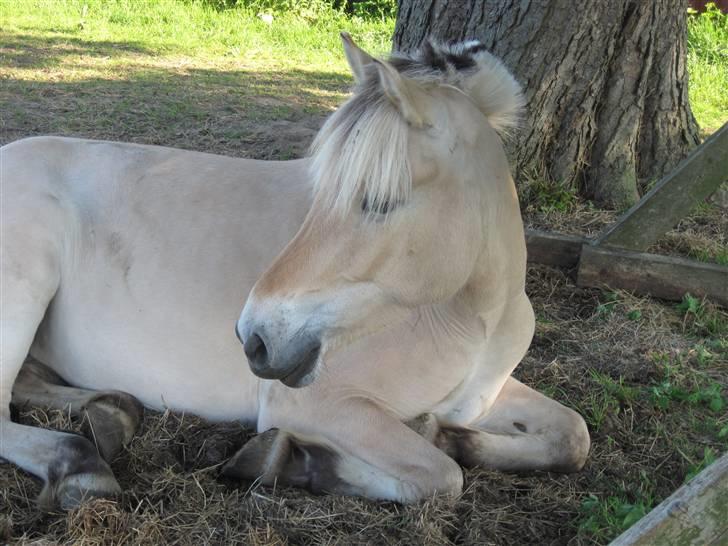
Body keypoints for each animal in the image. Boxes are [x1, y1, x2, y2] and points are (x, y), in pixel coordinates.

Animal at [0, 34, 590, 508]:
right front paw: (290, 461)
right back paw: (80, 464)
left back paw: (111, 412)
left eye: (378, 202)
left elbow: (572, 436)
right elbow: (441, 478)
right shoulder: (320, 405)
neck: (476, 317)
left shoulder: (483, 396)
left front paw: (450, 435)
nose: (253, 338)